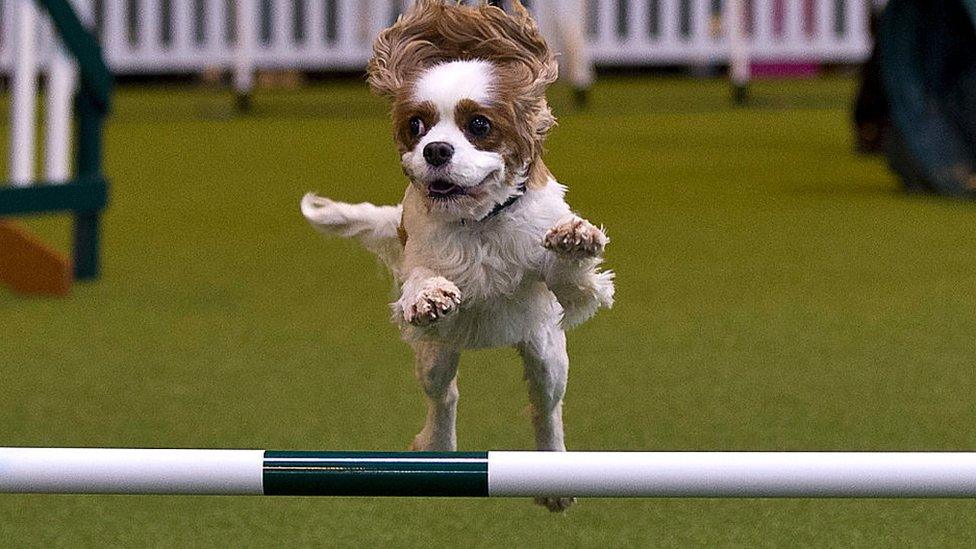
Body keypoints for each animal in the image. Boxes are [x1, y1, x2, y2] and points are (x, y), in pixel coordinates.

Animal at [302, 2, 612, 512]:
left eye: (479, 125)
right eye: (416, 126)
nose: (436, 150)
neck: (479, 220)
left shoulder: (563, 287)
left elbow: (573, 277)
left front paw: (574, 240)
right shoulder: (421, 255)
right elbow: (422, 280)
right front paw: (427, 296)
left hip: (546, 349)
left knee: (545, 406)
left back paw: (553, 476)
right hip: (437, 353)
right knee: (444, 395)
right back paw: (438, 451)